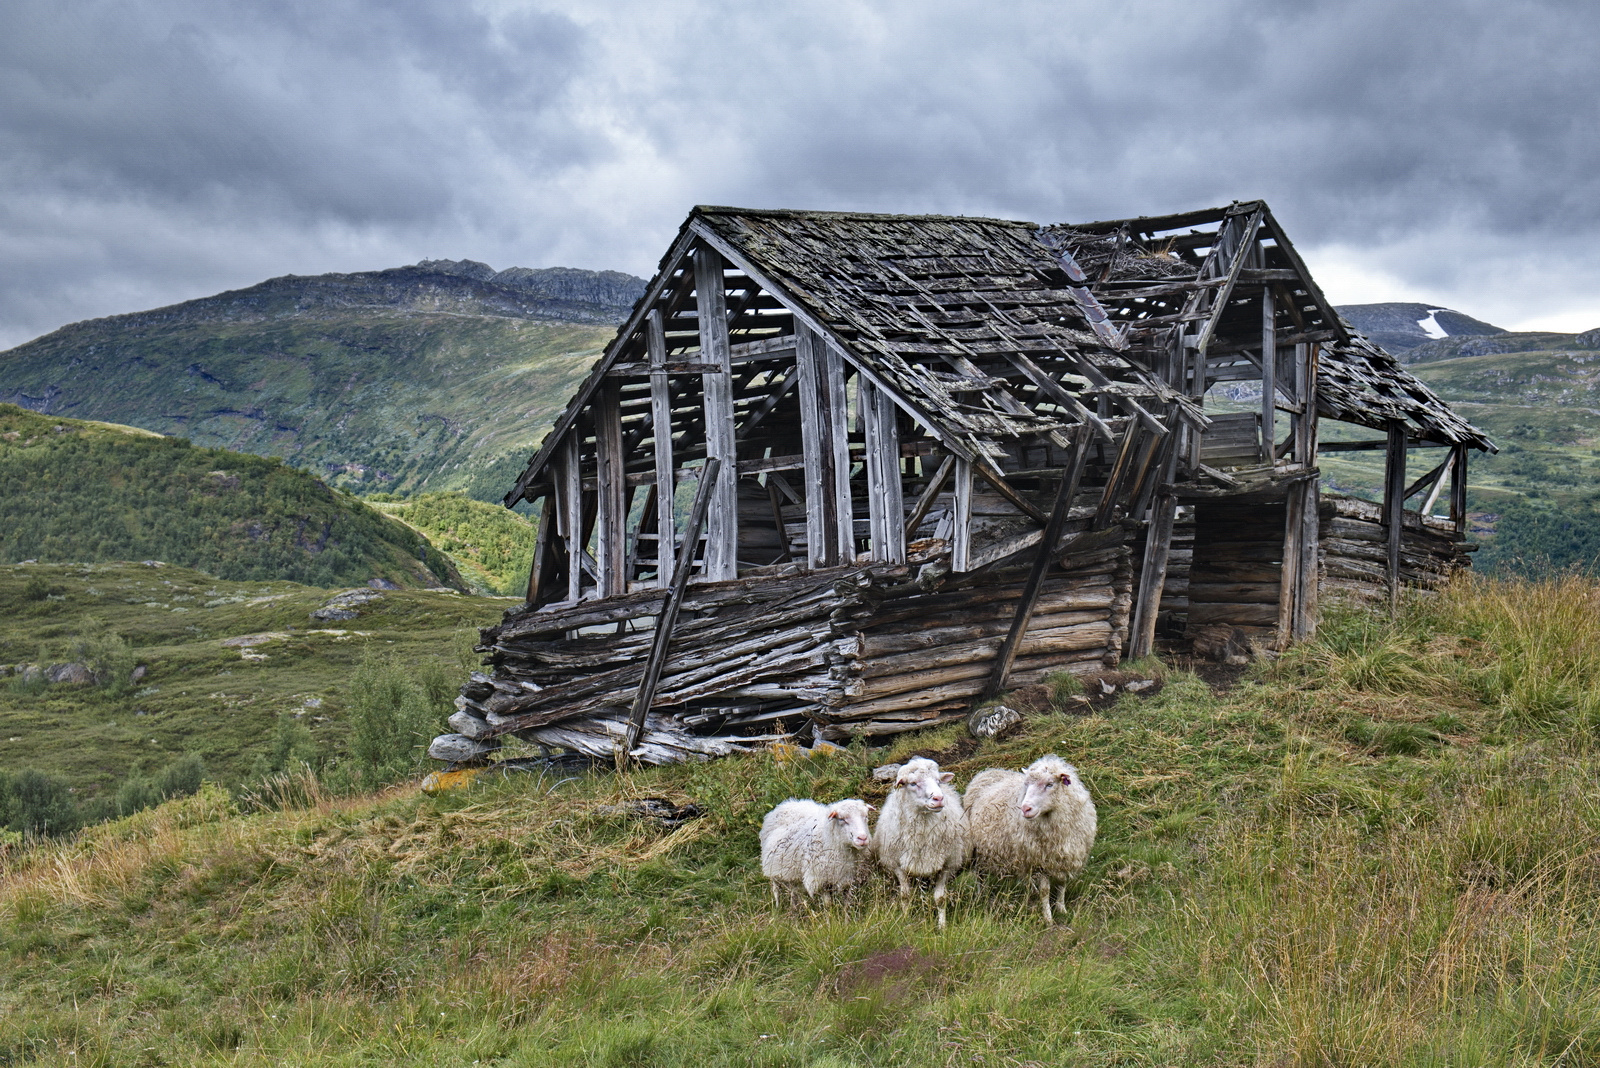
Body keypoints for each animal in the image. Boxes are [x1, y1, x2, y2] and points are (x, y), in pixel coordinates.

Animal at [870, 751, 966, 927]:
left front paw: (942, 926)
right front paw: (905, 920)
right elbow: (905, 896)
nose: (938, 798)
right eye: (913, 783)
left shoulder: (947, 865)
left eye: (937, 781)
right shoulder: (897, 865)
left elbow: (940, 898)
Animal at [953, 754, 1094, 920]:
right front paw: (1048, 917)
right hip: (979, 849)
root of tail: (988, 771)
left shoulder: (1065, 856)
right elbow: (1045, 891)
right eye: (1026, 785)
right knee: (979, 874)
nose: (1025, 808)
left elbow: (1062, 883)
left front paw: (1061, 908)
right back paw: (981, 895)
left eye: (1050, 784)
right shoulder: (1039, 861)